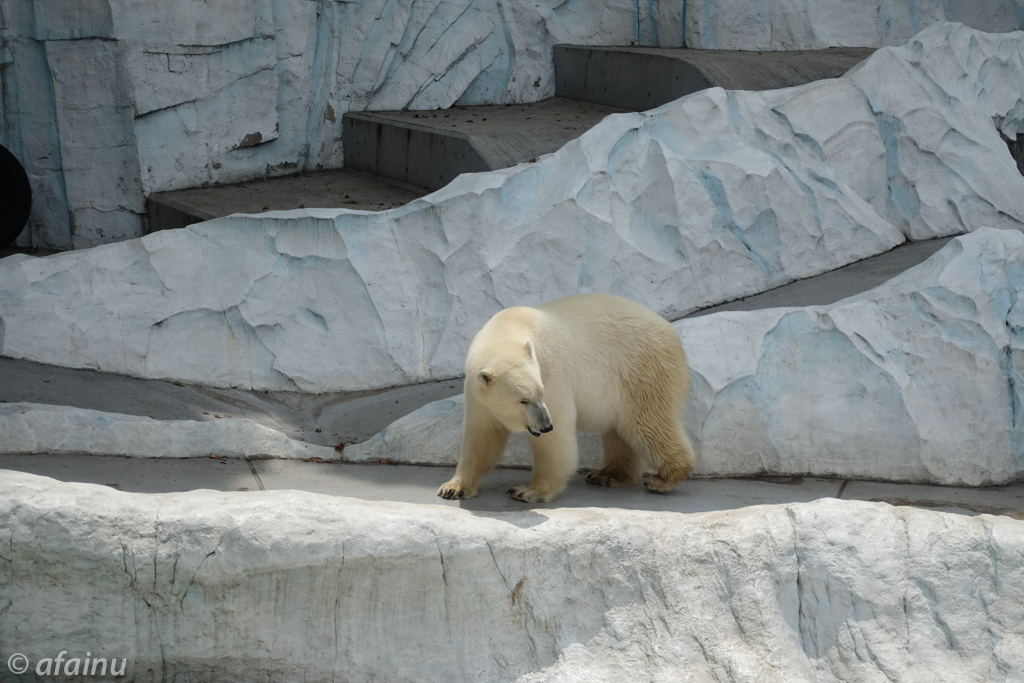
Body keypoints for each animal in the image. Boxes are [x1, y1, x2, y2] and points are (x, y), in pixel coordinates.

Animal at [436, 290, 692, 505]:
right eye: (523, 401)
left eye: (540, 393)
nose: (545, 425)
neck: (508, 328)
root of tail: (670, 331)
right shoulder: (477, 394)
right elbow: (480, 436)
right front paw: (454, 487)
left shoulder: (551, 371)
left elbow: (556, 439)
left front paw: (529, 491)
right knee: (621, 430)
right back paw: (608, 475)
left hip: (642, 369)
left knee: (649, 422)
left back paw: (665, 478)